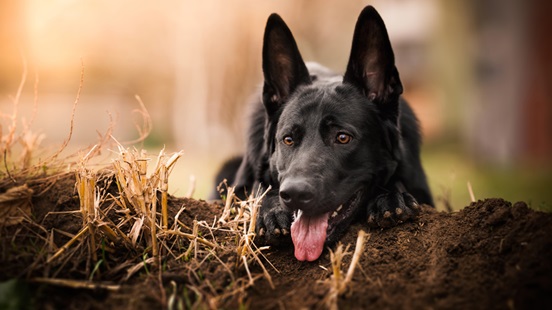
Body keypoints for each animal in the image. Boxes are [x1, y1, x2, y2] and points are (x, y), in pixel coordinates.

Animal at [213, 5, 434, 262]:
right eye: (288, 140)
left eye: (343, 137)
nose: (294, 194)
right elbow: (258, 189)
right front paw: (272, 210)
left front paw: (390, 198)